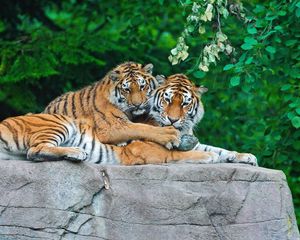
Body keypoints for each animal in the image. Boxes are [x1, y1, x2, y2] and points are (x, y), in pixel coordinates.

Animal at [43, 61, 179, 149]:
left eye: (142, 86)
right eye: (127, 89)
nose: (137, 105)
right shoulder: (112, 126)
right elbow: (141, 128)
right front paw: (170, 135)